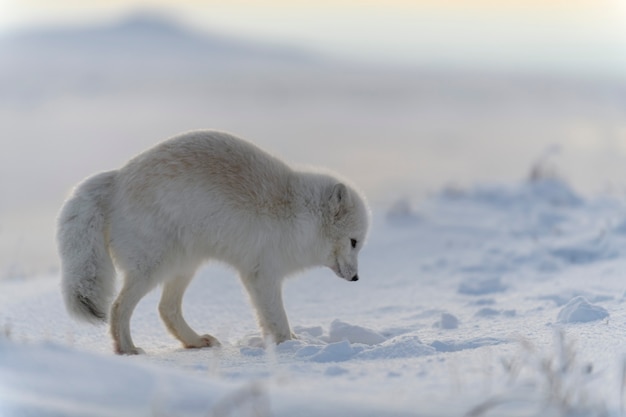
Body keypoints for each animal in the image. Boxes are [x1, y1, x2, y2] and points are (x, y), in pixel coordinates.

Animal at [56, 130, 368, 354]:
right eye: (354, 242)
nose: (356, 278)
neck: (297, 213)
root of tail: (117, 178)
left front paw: (294, 342)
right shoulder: (261, 275)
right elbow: (276, 320)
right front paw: (291, 347)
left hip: (184, 266)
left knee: (166, 309)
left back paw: (194, 342)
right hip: (152, 269)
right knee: (119, 308)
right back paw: (128, 350)